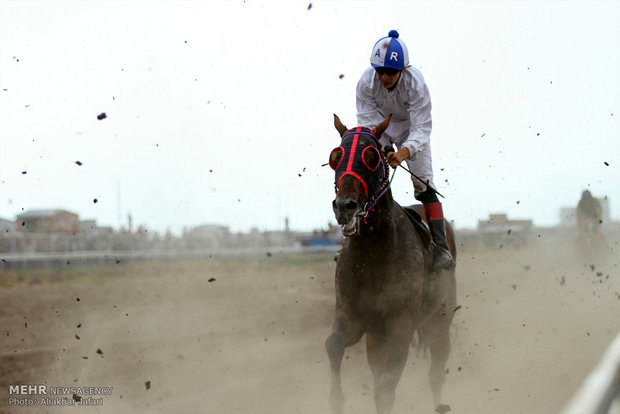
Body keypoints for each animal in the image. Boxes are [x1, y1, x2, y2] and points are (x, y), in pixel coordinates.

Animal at [326, 114, 458, 414]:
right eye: (336, 157)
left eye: (372, 157)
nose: (345, 207)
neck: (374, 253)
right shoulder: (353, 317)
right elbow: (333, 344)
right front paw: (336, 398)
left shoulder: (401, 325)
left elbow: (386, 388)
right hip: (377, 336)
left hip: (440, 320)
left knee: (436, 373)